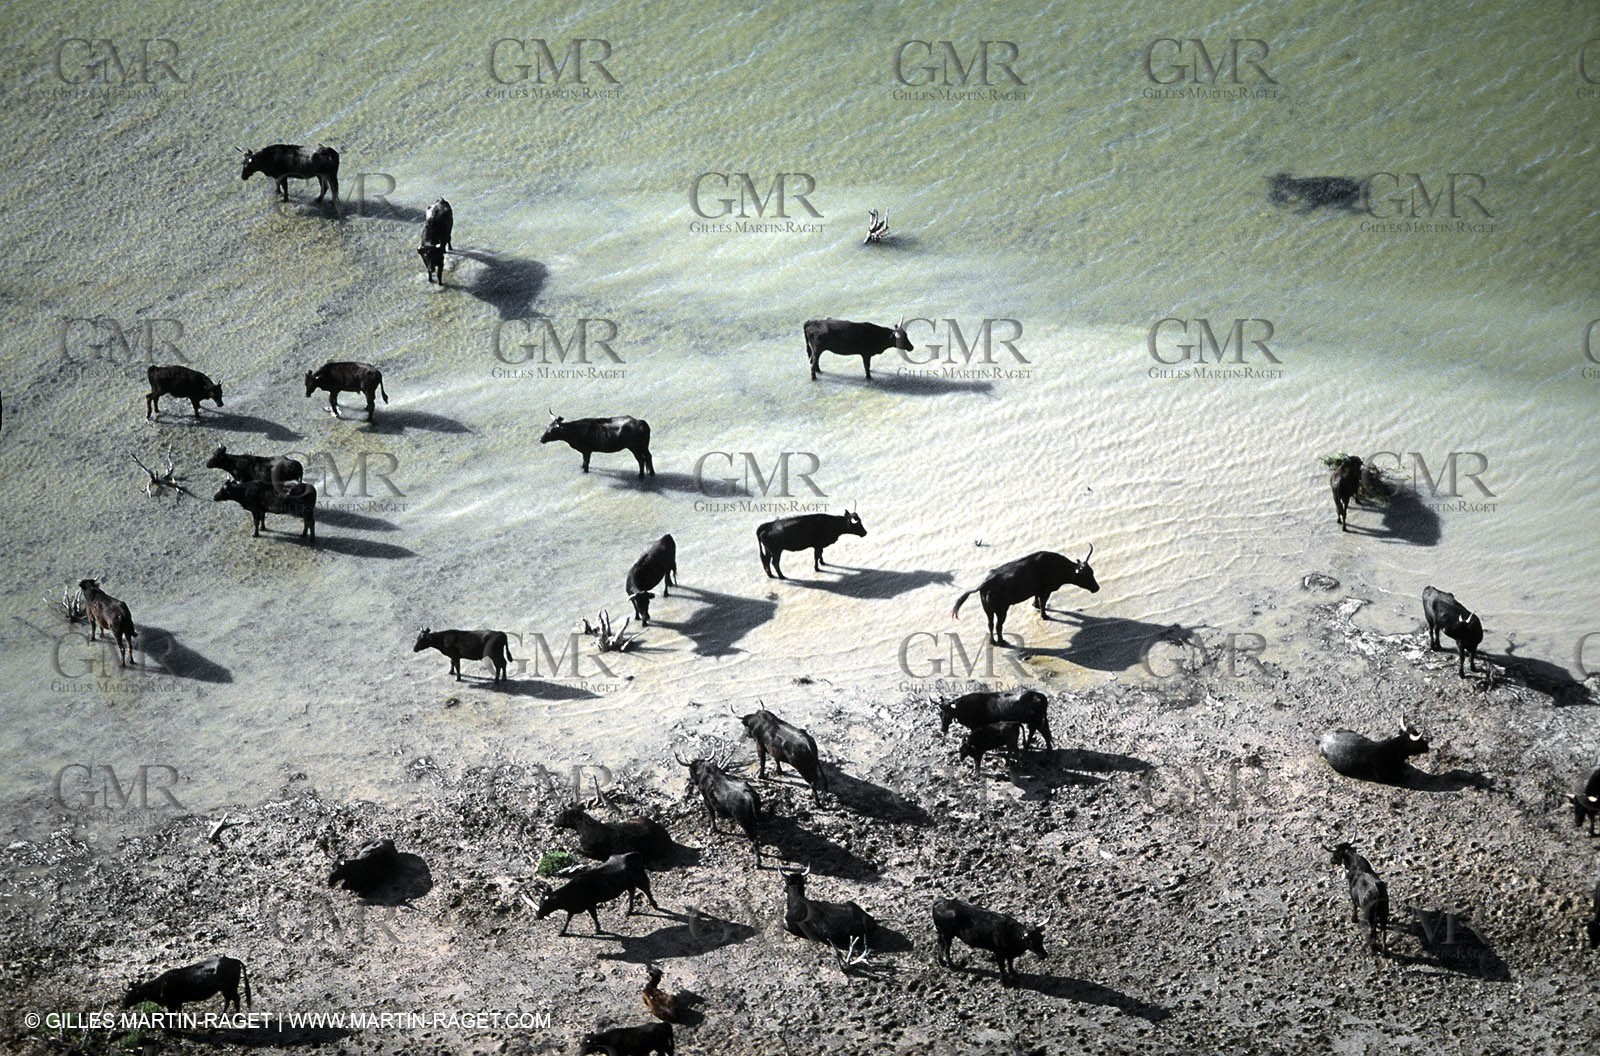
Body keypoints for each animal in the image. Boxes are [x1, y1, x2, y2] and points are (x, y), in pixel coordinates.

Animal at [121, 956, 251, 1012]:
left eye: (131, 994)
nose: (124, 1005)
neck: (159, 985)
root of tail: (232, 960)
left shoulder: (172, 1004)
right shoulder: (178, 1002)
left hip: (230, 988)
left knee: (236, 999)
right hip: (225, 989)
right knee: (229, 1000)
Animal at [952, 547, 1098, 646]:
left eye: (1092, 572)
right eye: (1086, 575)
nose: (1097, 588)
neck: (1057, 566)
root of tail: (984, 584)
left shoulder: (1037, 590)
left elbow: (1037, 599)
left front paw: (1036, 606)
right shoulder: (1046, 590)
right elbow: (1043, 602)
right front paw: (1045, 616)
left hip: (988, 610)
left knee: (990, 624)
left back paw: (993, 641)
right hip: (1001, 610)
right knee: (998, 626)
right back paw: (1002, 641)